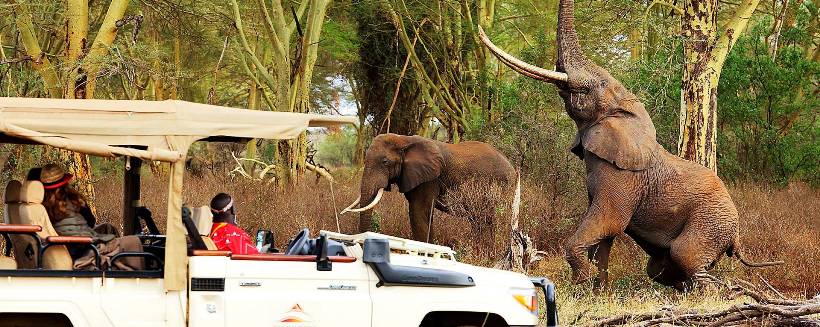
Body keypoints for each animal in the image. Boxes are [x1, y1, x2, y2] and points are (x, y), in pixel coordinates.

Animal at [478, 0, 780, 290]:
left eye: (598, 85)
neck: (627, 113)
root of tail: (737, 234)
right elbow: (603, 238)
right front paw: (598, 293)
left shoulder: (623, 179)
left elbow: (609, 222)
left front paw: (580, 284)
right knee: (660, 268)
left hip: (711, 223)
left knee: (686, 255)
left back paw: (718, 292)